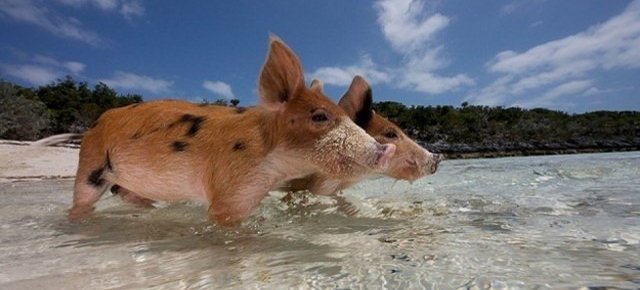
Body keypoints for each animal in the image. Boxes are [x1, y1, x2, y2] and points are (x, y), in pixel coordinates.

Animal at [65, 36, 396, 225]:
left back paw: (150, 206)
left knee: (121, 190)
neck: (273, 167)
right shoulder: (229, 189)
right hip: (90, 165)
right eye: (319, 117)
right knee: (82, 201)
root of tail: (96, 122)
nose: (387, 149)